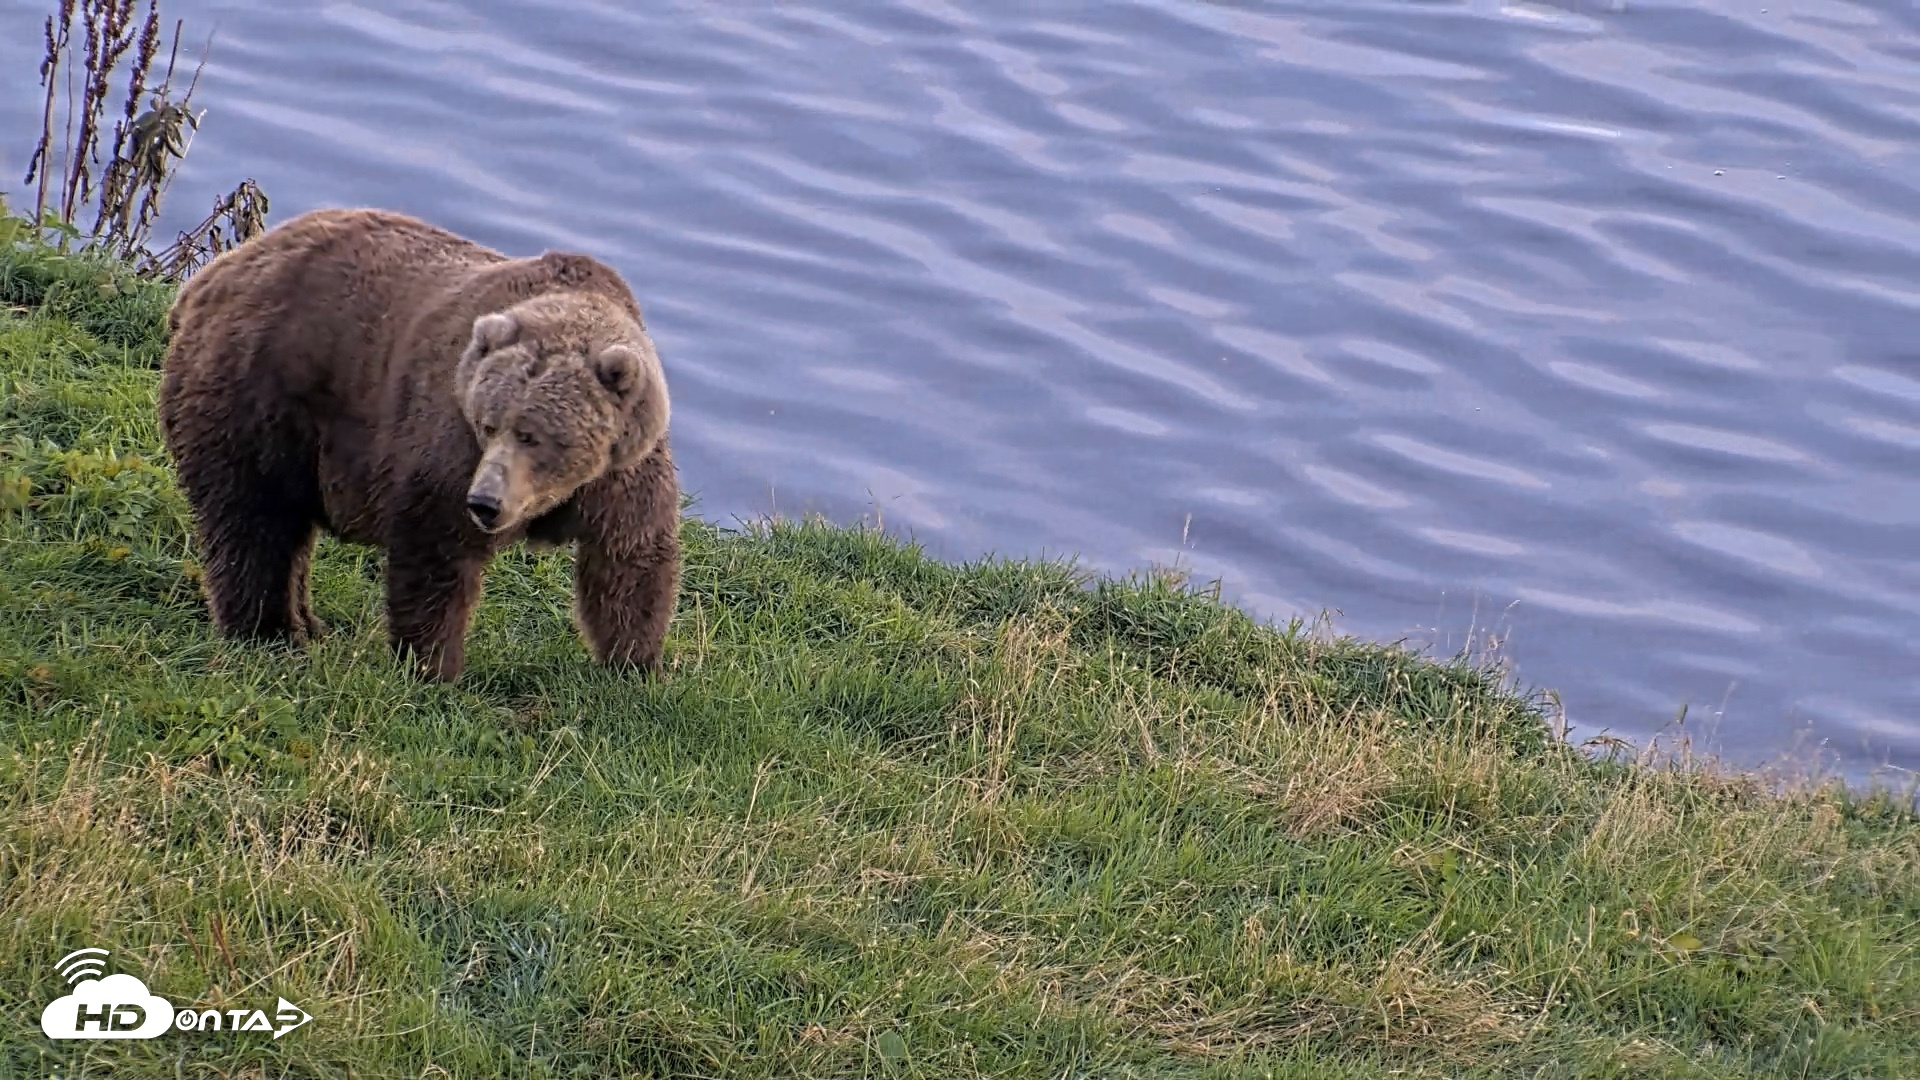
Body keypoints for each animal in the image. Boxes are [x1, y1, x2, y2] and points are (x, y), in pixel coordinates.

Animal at [156, 206, 681, 683]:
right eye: (488, 425)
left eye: (531, 434)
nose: (485, 502)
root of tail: (209, 279)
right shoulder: (448, 442)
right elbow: (436, 554)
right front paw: (433, 668)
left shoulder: (623, 474)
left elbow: (629, 562)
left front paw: (635, 664)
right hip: (257, 392)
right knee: (252, 519)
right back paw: (269, 632)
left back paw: (307, 625)